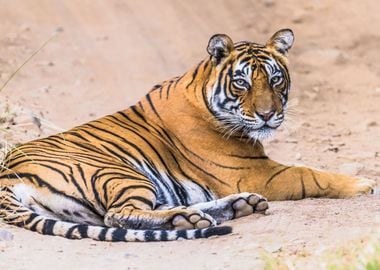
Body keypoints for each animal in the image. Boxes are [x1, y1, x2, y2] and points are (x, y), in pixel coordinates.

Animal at [0, 28, 376, 242]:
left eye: (275, 79)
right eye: (242, 82)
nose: (268, 115)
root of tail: (6, 177)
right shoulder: (257, 172)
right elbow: (309, 174)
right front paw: (363, 184)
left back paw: (234, 206)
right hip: (117, 172)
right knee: (118, 214)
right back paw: (189, 217)